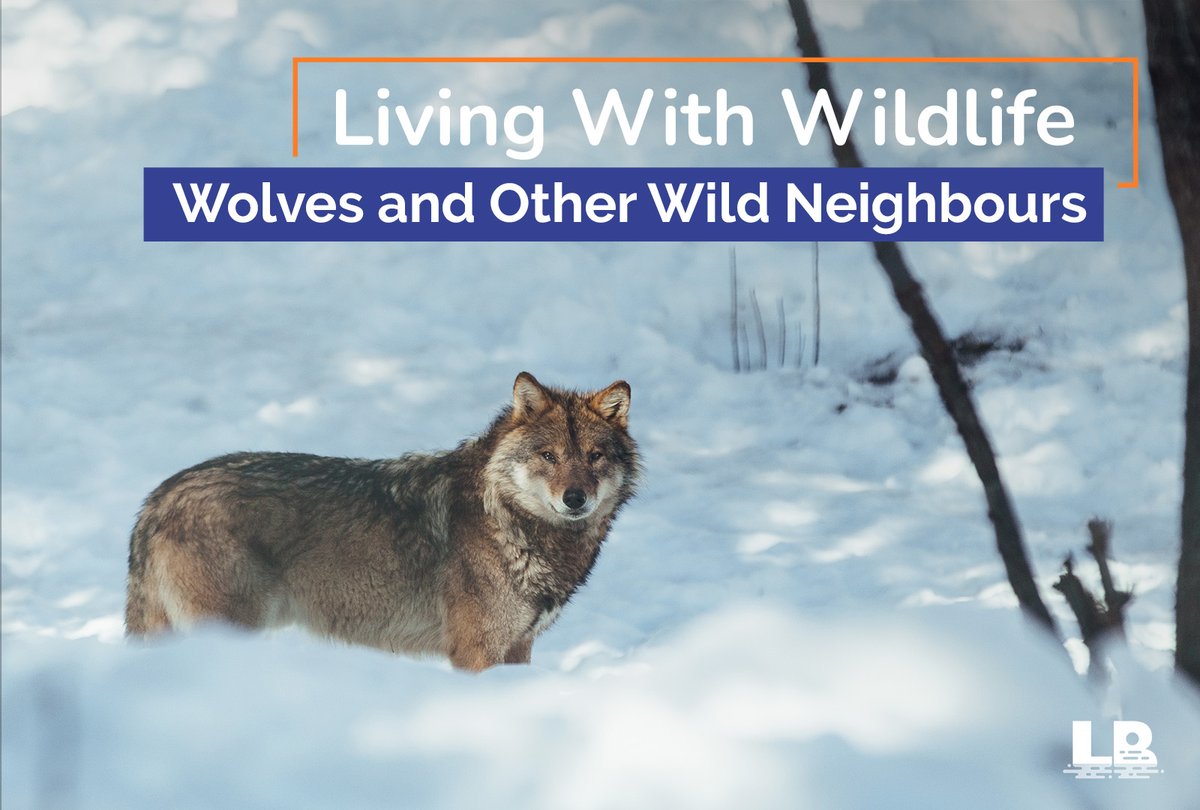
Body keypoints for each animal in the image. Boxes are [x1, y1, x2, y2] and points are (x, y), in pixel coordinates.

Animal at [124, 372, 639, 671]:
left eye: (593, 457)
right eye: (548, 456)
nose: (575, 498)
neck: (509, 521)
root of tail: (157, 500)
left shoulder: (518, 648)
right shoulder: (478, 653)